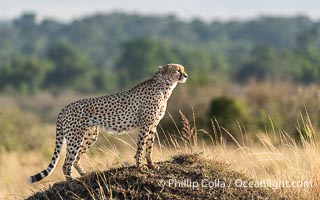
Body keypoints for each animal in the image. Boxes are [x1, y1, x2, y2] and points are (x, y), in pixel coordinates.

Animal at [28, 63, 188, 184]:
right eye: (177, 70)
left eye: (183, 69)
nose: (186, 76)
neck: (164, 87)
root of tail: (64, 108)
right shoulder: (145, 124)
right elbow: (141, 147)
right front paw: (140, 166)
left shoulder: (153, 125)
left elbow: (149, 146)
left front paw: (151, 164)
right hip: (75, 137)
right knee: (67, 163)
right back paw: (71, 182)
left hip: (90, 136)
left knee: (76, 159)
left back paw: (85, 175)